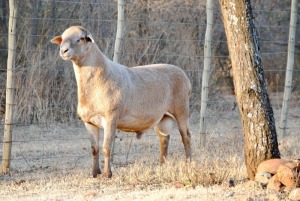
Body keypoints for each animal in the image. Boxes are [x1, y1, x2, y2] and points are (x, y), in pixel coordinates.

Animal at [50, 26, 192, 177]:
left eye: (81, 38)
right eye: (62, 39)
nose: (63, 50)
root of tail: (186, 77)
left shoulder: (111, 118)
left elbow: (106, 147)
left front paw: (107, 174)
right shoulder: (89, 122)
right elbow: (94, 149)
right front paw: (94, 173)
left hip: (181, 110)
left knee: (186, 137)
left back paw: (188, 163)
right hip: (162, 117)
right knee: (164, 138)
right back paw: (161, 166)